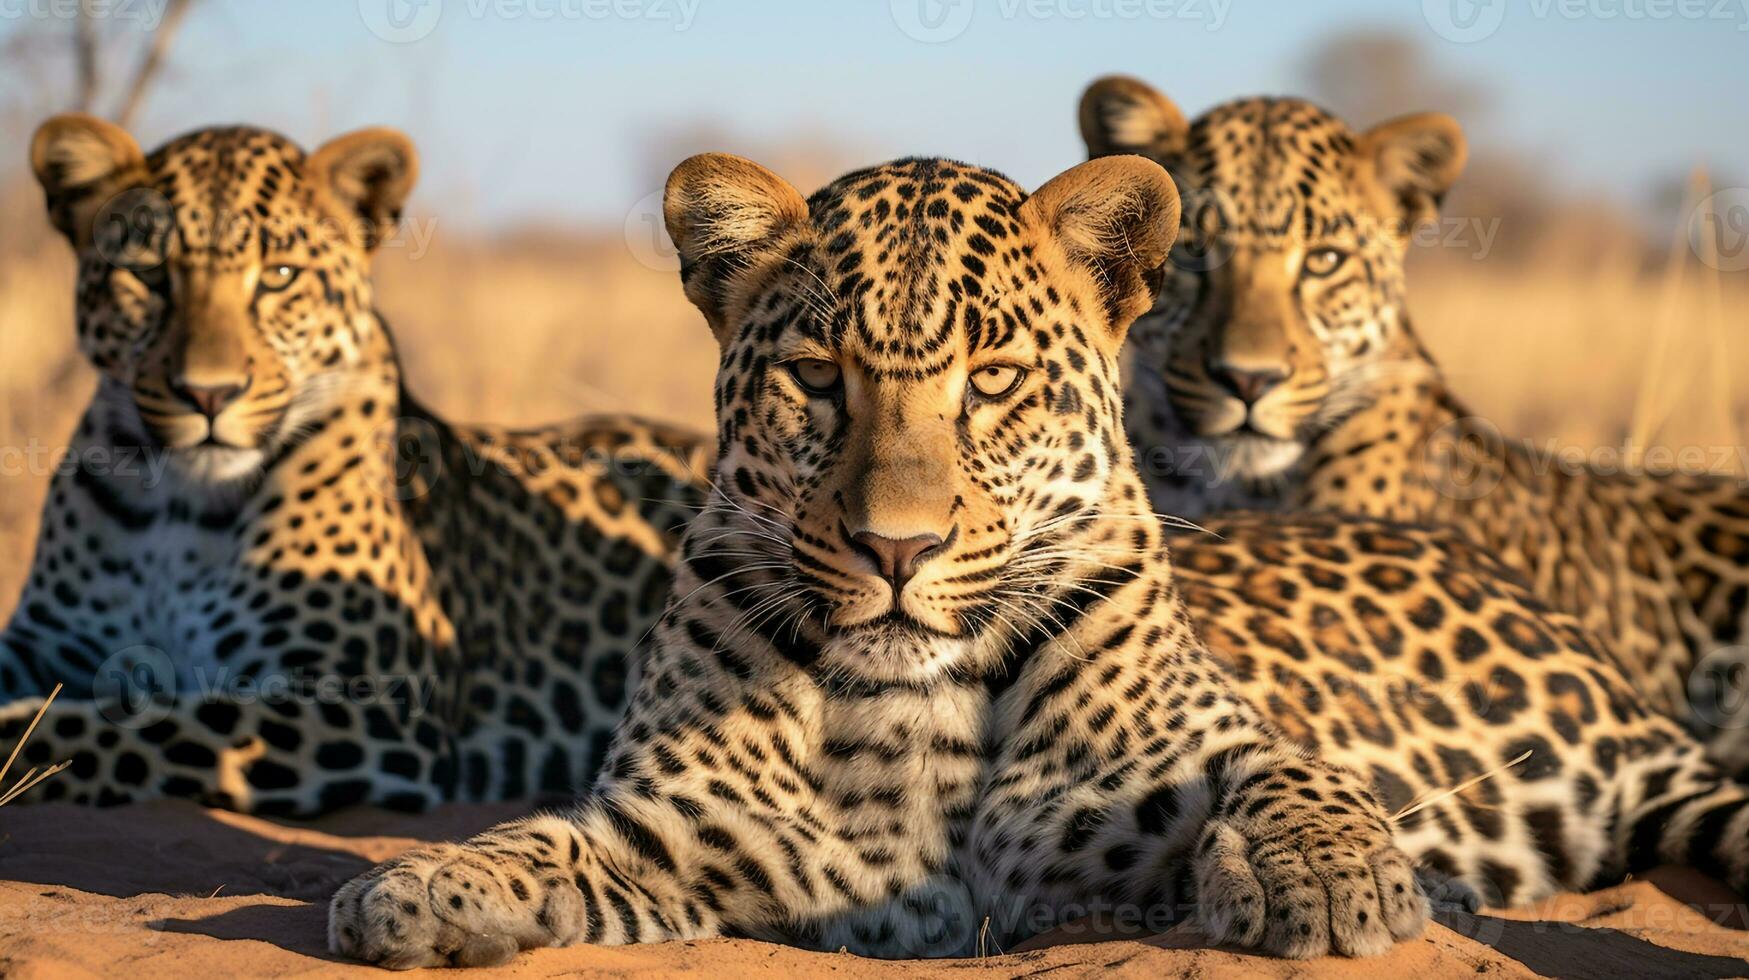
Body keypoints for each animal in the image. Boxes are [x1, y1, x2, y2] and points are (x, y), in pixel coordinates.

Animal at [1, 114, 710, 815]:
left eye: (280, 275)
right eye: (147, 277)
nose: (209, 394)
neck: (182, 506)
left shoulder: (365, 701)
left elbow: (133, 723)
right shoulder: (45, 642)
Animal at [325, 153, 1749, 966]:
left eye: (995, 380)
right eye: (817, 378)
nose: (898, 546)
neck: (905, 709)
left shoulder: (1210, 752)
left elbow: (1296, 779)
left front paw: (1331, 884)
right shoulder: (678, 834)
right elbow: (540, 840)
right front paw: (417, 887)